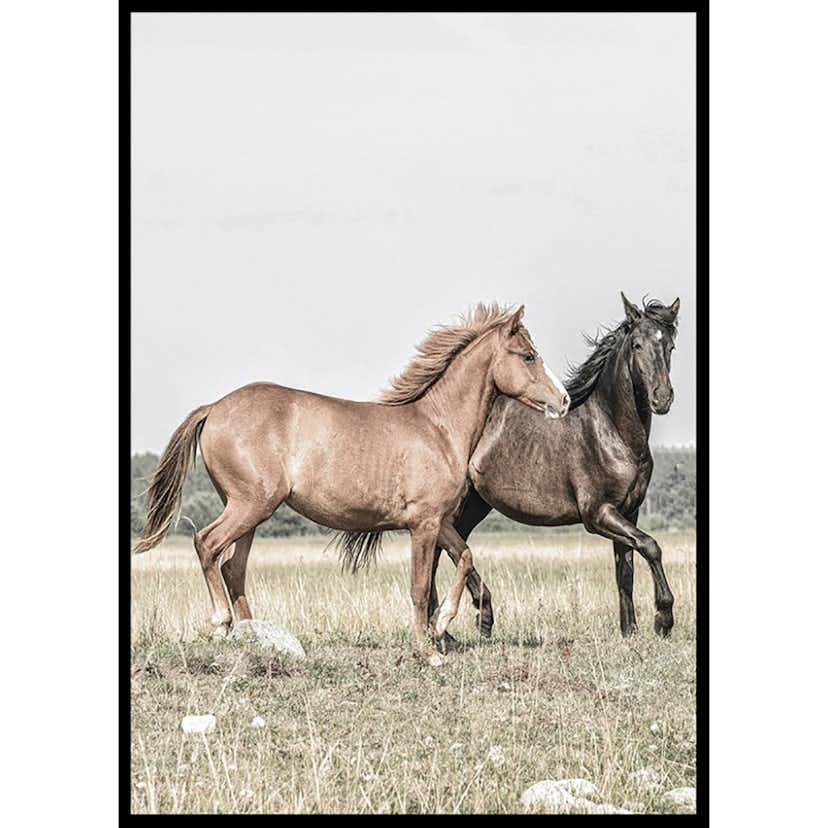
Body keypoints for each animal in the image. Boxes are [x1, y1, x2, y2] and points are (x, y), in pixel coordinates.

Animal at [133, 304, 570, 655]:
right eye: (528, 356)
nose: (563, 400)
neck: (438, 428)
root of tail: (214, 407)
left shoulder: (438, 521)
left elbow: (464, 557)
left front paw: (444, 623)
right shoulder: (423, 524)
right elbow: (418, 587)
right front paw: (427, 650)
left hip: (251, 512)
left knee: (233, 566)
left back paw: (255, 635)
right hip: (250, 504)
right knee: (207, 545)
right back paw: (222, 625)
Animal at [427, 293, 681, 639]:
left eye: (670, 345)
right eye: (637, 345)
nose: (662, 398)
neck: (612, 432)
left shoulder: (629, 511)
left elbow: (625, 571)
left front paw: (630, 631)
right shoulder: (598, 514)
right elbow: (651, 546)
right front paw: (663, 619)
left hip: (475, 505)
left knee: (447, 549)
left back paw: (453, 624)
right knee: (440, 550)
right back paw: (463, 620)